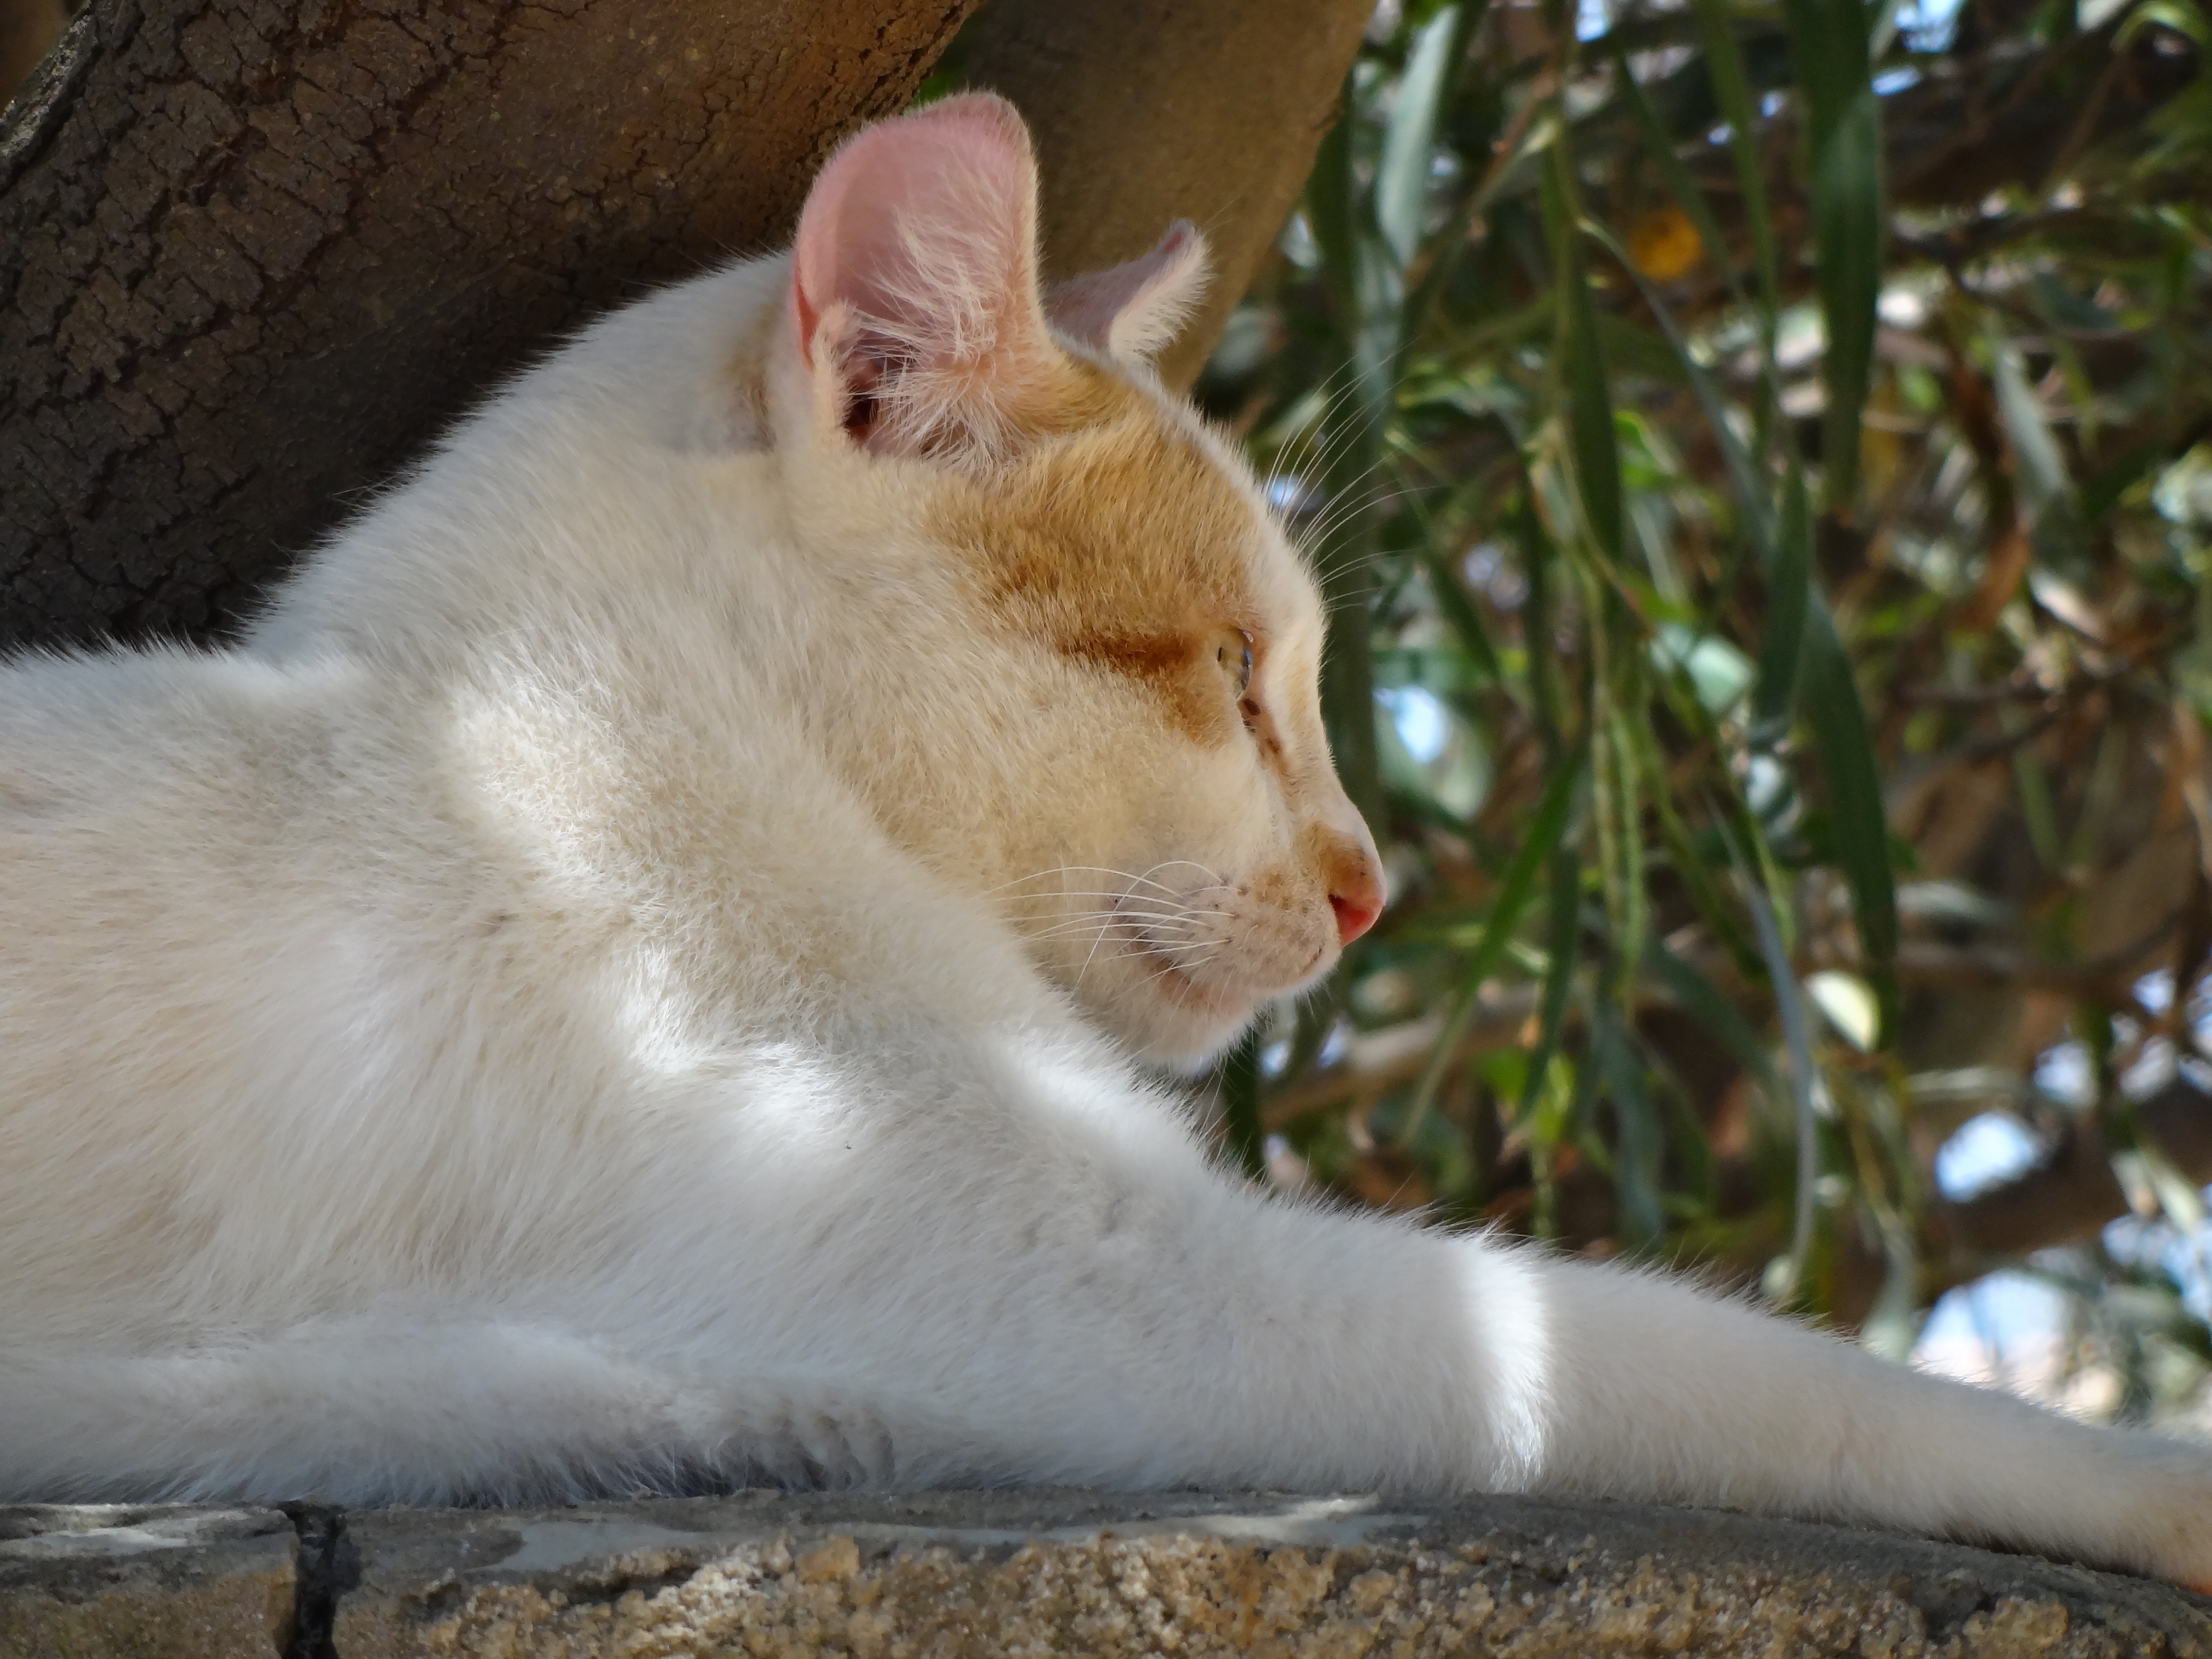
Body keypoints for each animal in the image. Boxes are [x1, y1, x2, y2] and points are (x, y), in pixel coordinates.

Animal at [4, 90, 2212, 1584]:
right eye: (1232, 672)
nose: (1368, 887)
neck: (562, 746)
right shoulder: (1119, 1290)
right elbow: (1668, 1351)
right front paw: (2160, 1482)